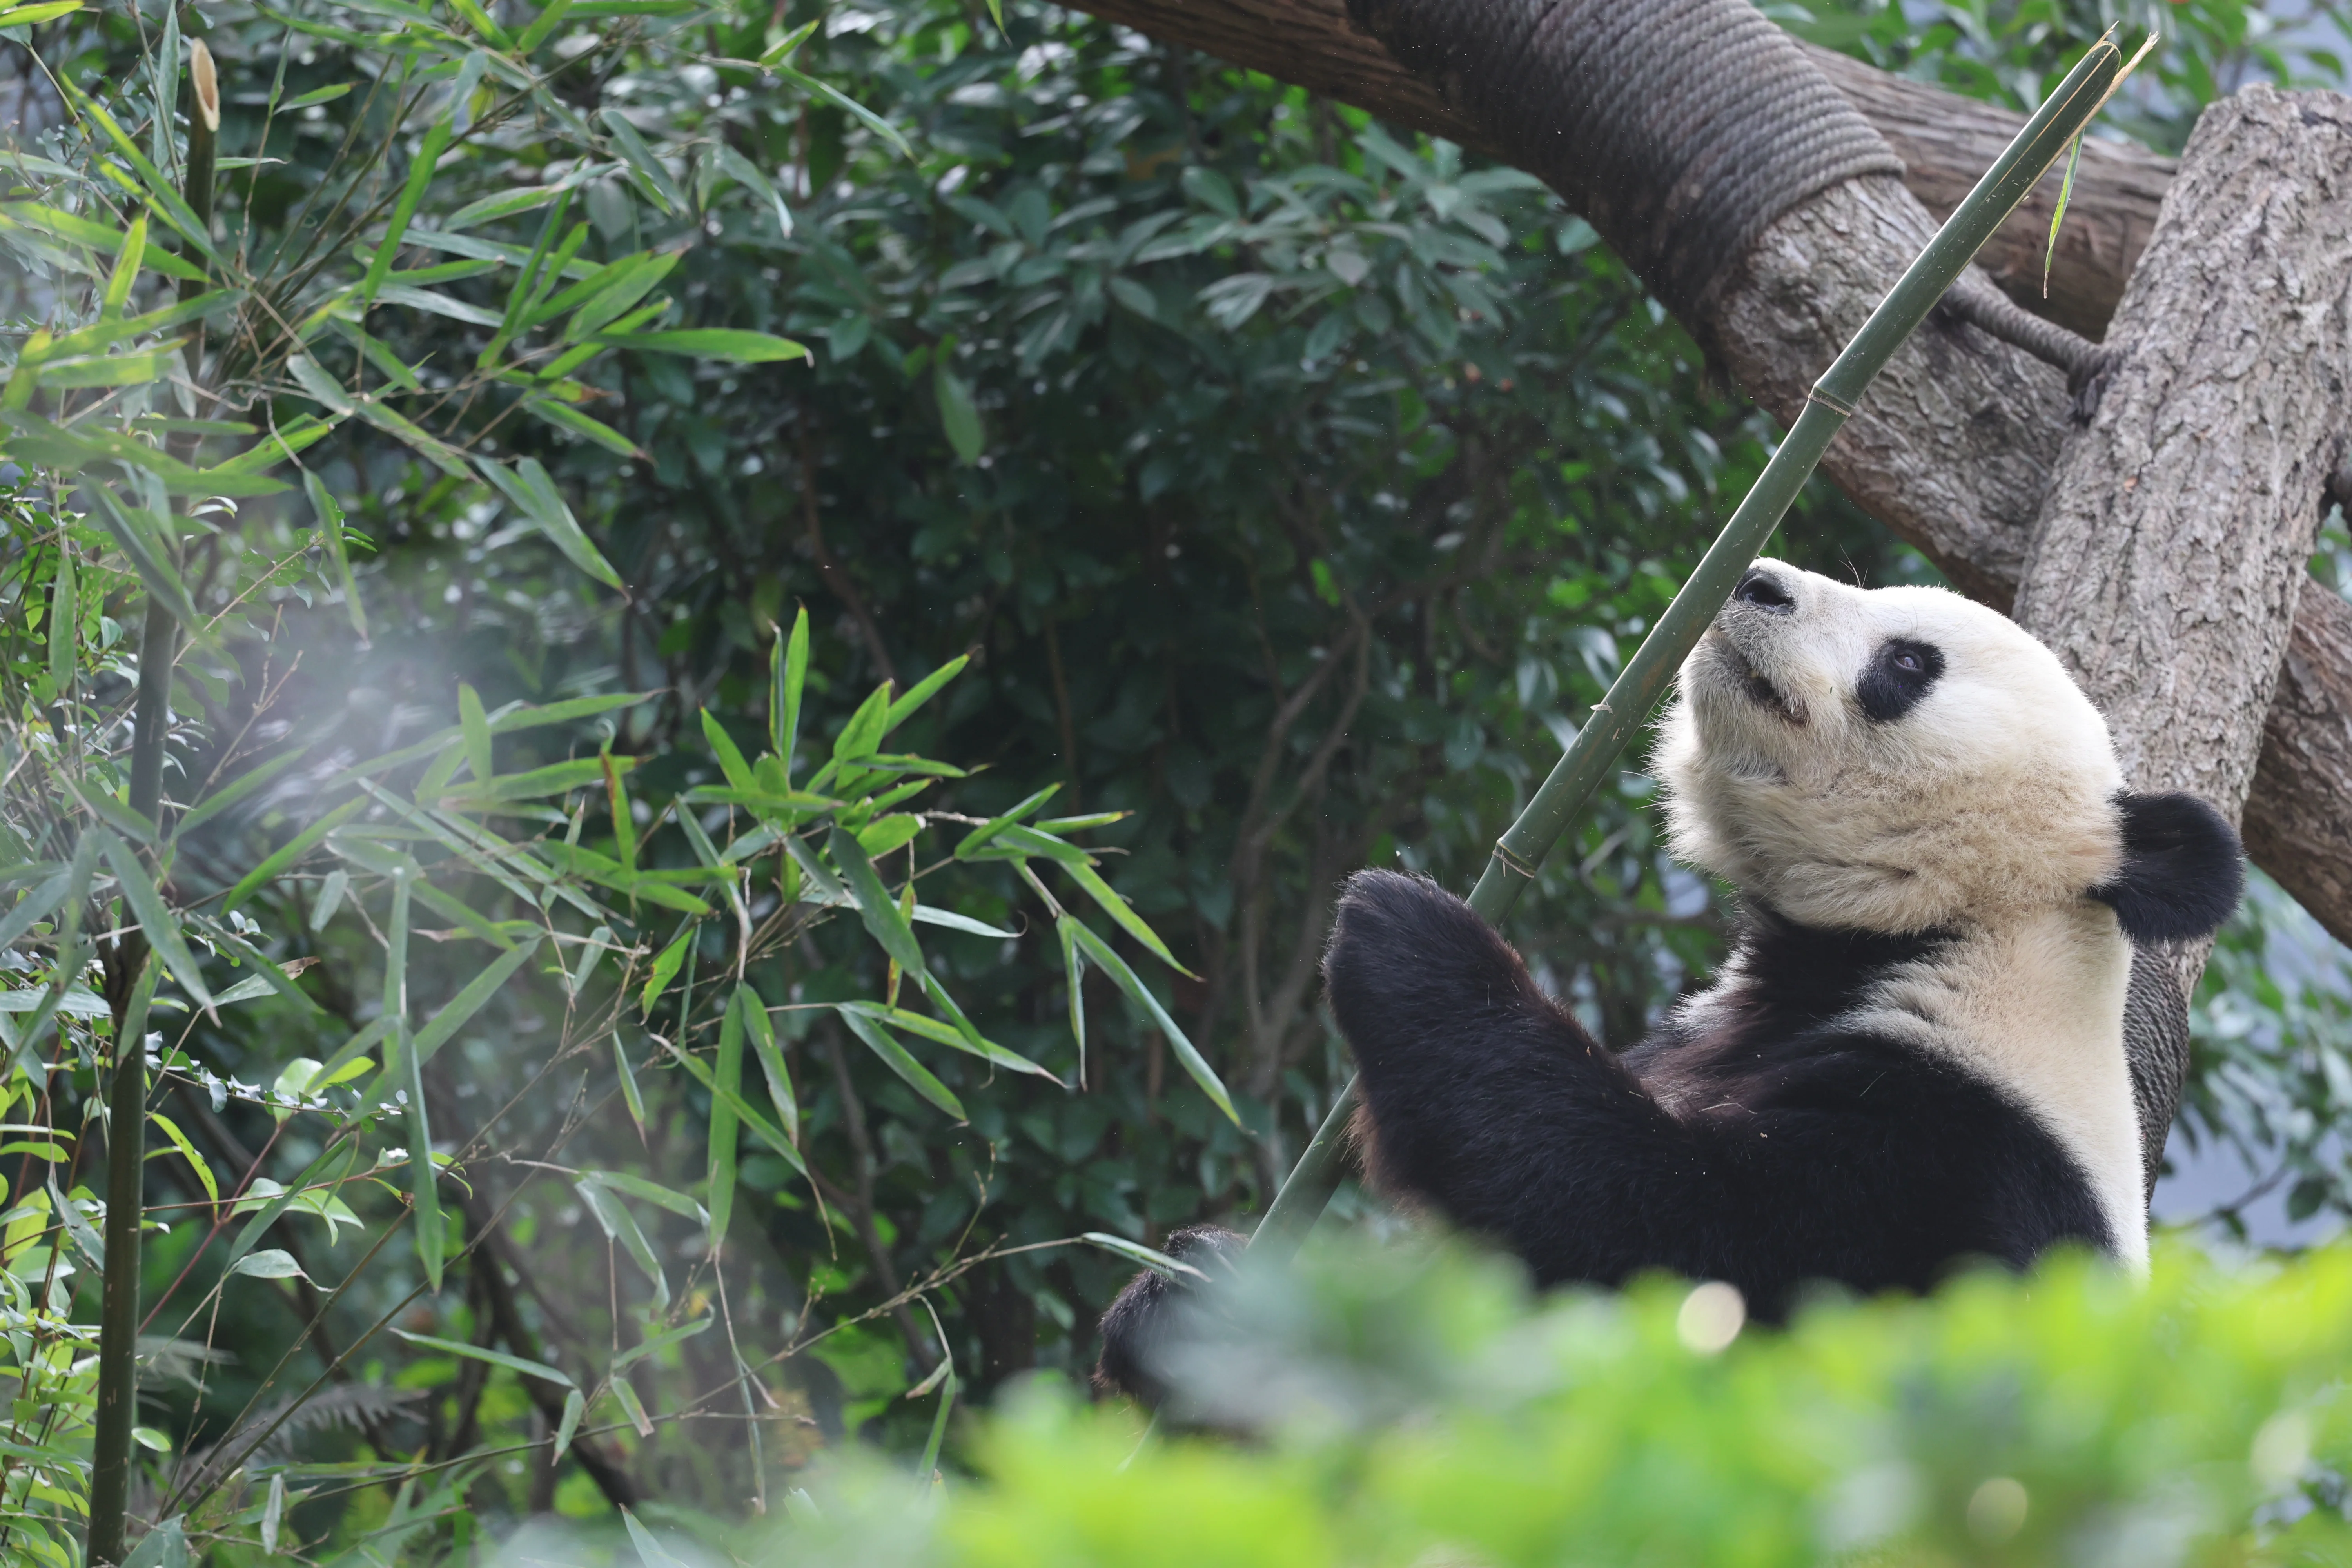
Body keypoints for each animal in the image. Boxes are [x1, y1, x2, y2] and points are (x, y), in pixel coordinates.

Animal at [1096, 560, 2243, 1403]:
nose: (1760, 581)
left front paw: (1407, 929)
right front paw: (1185, 1300)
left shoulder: (1951, 1163)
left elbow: (1666, 1239)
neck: (1945, 941)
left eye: (1911, 659)